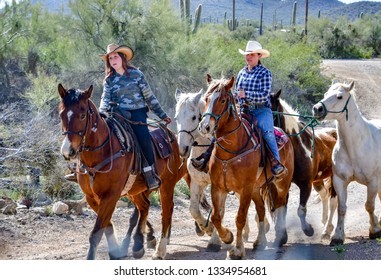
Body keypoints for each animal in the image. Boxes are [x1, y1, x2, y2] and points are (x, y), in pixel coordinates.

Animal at [57, 83, 186, 260]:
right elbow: (107, 226)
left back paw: (160, 249)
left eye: (82, 115)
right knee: (144, 206)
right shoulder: (93, 198)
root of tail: (170, 134)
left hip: (167, 185)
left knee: (166, 212)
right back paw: (138, 245)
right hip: (134, 189)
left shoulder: (111, 195)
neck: (102, 151)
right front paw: (116, 251)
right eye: (61, 114)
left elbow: (96, 233)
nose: (68, 151)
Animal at [176, 89, 268, 252]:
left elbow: (218, 211)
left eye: (193, 117)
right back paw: (246, 233)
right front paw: (206, 228)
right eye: (176, 117)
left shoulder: (218, 185)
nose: (182, 148)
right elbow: (194, 209)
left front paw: (215, 239)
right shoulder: (197, 182)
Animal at [197, 75, 292, 260]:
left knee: (280, 205)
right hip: (256, 189)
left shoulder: (245, 188)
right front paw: (227, 237)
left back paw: (280, 237)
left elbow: (240, 218)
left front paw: (237, 250)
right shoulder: (218, 187)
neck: (230, 152)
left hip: (281, 184)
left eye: (222, 100)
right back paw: (260, 241)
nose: (205, 127)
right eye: (206, 98)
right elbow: (216, 216)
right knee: (261, 210)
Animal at [268, 89, 336, 238]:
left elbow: (301, 210)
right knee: (324, 195)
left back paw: (328, 229)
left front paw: (308, 229)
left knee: (333, 200)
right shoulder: (286, 184)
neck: (298, 147)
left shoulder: (306, 183)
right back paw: (324, 221)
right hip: (318, 180)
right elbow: (282, 209)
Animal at [312, 80, 380, 245]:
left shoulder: (373, 181)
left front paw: (374, 230)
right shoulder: (339, 181)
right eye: (325, 94)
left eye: (339, 97)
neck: (356, 146)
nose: (317, 109)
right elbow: (341, 208)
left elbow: (369, 206)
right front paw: (337, 236)